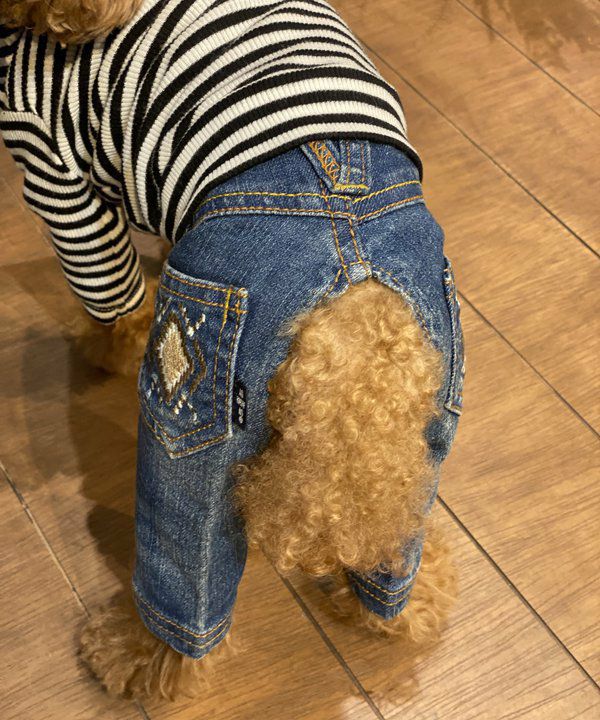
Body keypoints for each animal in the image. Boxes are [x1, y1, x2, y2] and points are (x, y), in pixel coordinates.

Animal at [1, 0, 462, 702]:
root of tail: (351, 315)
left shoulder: (54, 169)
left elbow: (112, 296)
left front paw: (106, 347)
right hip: (432, 405)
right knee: (394, 576)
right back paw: (410, 589)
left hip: (193, 400)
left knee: (184, 586)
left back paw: (129, 654)